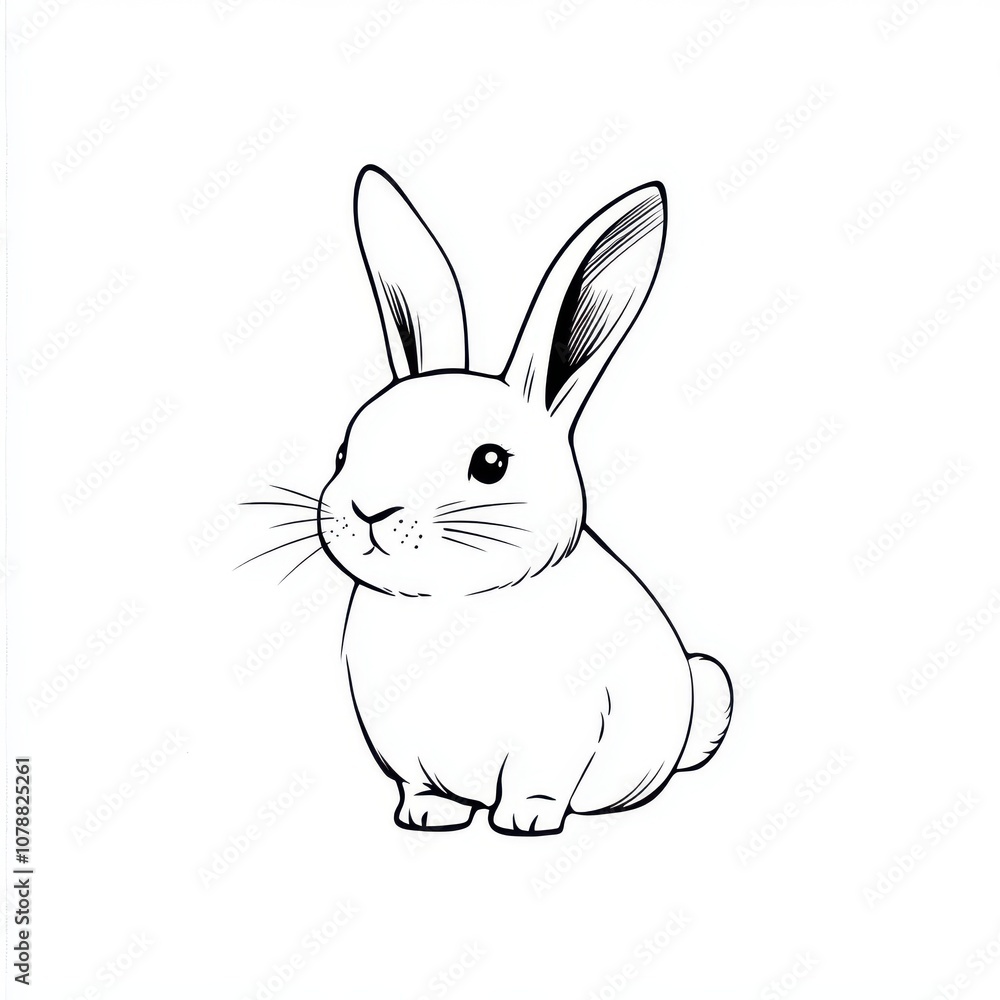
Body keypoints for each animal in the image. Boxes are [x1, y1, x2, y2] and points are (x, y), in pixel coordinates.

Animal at [314, 165, 732, 836]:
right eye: (343, 452)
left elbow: (537, 783)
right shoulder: (403, 747)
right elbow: (420, 785)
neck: (447, 603)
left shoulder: (560, 737)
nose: (370, 512)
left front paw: (526, 822)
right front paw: (425, 816)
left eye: (490, 464)